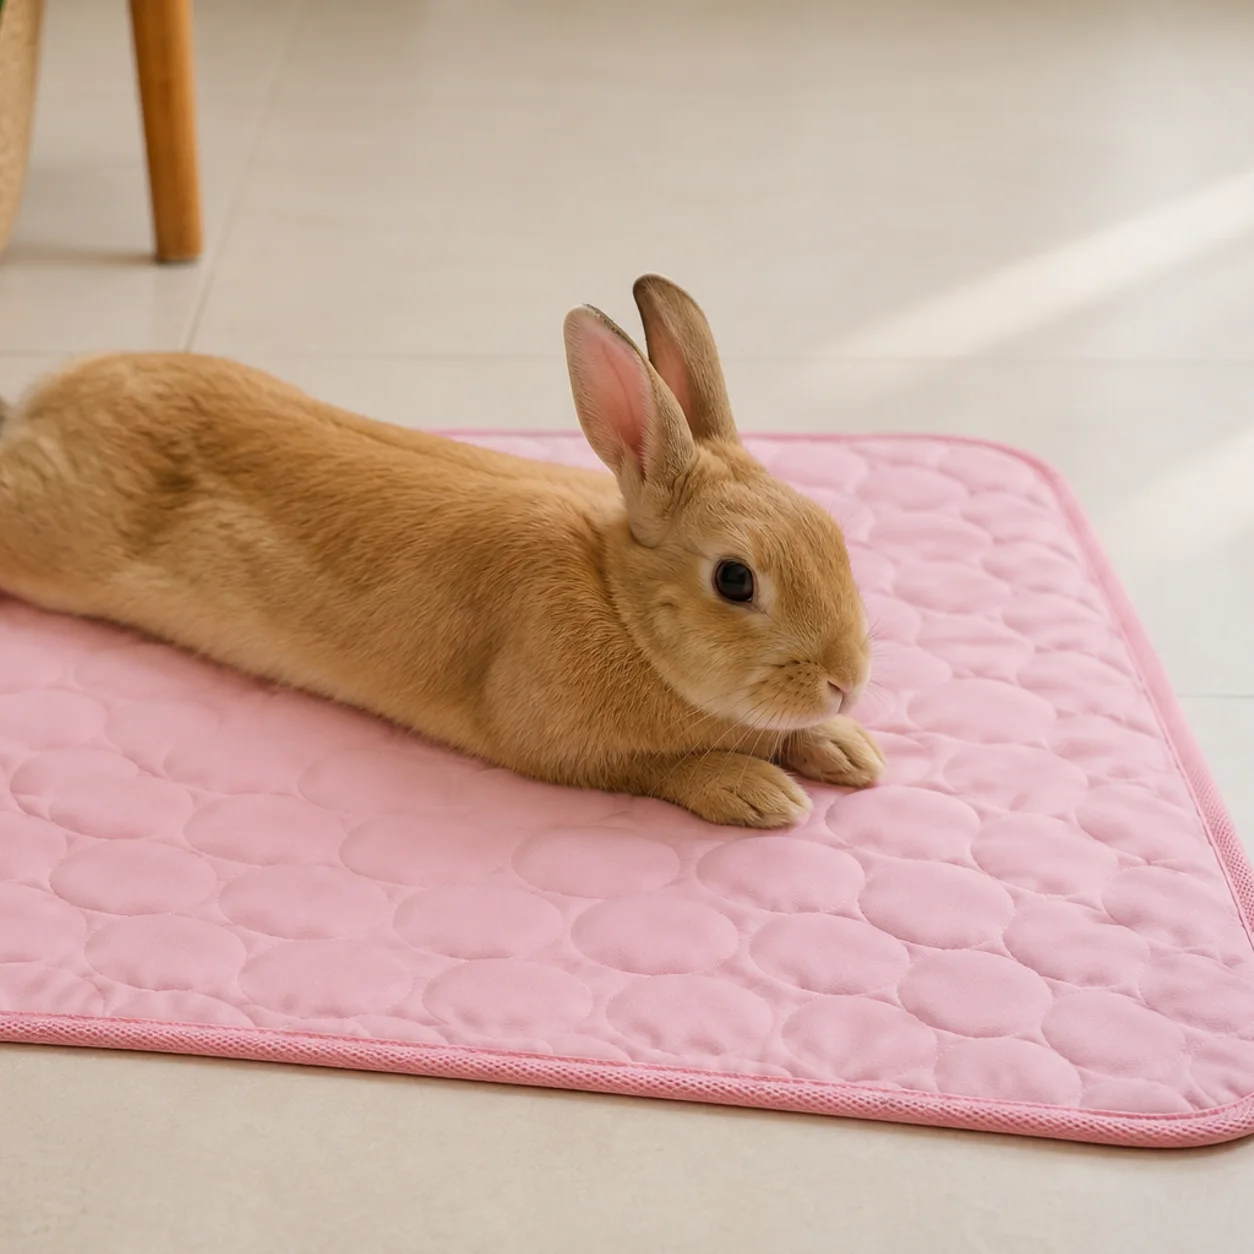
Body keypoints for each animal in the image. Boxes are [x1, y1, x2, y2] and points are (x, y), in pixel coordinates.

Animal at [0, 275, 882, 827]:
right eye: (735, 580)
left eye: (833, 531)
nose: (844, 683)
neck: (618, 601)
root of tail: (55, 396)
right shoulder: (563, 748)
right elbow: (661, 768)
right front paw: (759, 791)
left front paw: (848, 750)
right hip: (52, 540)